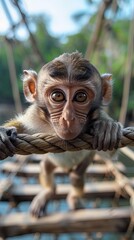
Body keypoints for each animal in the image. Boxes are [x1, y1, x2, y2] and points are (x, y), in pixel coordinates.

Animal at [0, 52, 122, 218]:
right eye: (57, 96)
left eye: (81, 96)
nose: (68, 118)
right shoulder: (35, 116)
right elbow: (22, 126)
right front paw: (4, 132)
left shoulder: (100, 115)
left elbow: (110, 153)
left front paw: (107, 128)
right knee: (46, 167)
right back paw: (48, 192)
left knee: (76, 177)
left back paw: (73, 196)